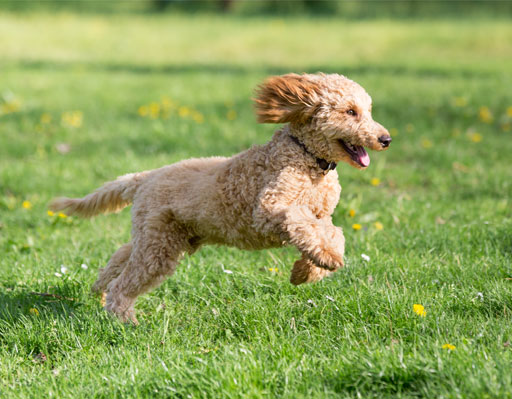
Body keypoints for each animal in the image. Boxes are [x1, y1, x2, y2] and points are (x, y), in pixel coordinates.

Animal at [49, 72, 392, 324]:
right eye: (350, 112)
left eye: (369, 111)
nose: (386, 138)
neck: (307, 158)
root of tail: (146, 176)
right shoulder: (270, 208)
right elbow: (305, 226)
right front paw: (325, 259)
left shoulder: (322, 216)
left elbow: (333, 233)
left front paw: (307, 270)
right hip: (159, 248)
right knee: (124, 284)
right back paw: (124, 320)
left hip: (159, 237)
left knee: (120, 256)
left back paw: (98, 288)